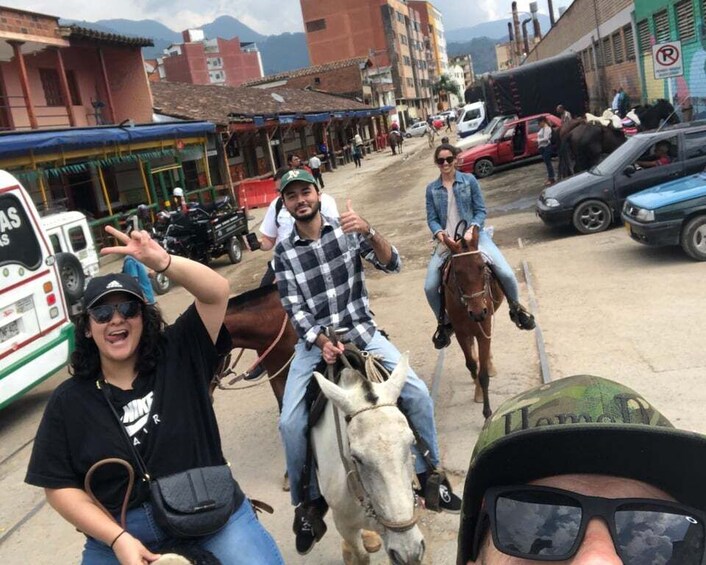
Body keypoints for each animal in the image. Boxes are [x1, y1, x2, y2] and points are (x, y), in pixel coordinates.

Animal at [440, 226, 500, 418]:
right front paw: (478, 391)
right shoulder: (461, 333)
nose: (479, 312)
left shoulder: (483, 330)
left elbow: (483, 374)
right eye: (457, 272)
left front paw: (487, 412)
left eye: (482, 267)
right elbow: (472, 365)